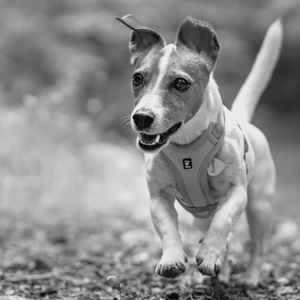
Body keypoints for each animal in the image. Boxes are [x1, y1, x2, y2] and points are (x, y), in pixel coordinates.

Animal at [115, 14, 282, 286]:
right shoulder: (158, 197)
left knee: (257, 245)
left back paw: (249, 277)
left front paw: (210, 253)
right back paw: (222, 272)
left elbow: (223, 222)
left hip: (260, 206)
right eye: (137, 78)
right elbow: (168, 229)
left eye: (181, 83)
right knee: (227, 240)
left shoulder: (237, 192)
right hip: (201, 217)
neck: (186, 145)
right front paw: (172, 259)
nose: (141, 118)